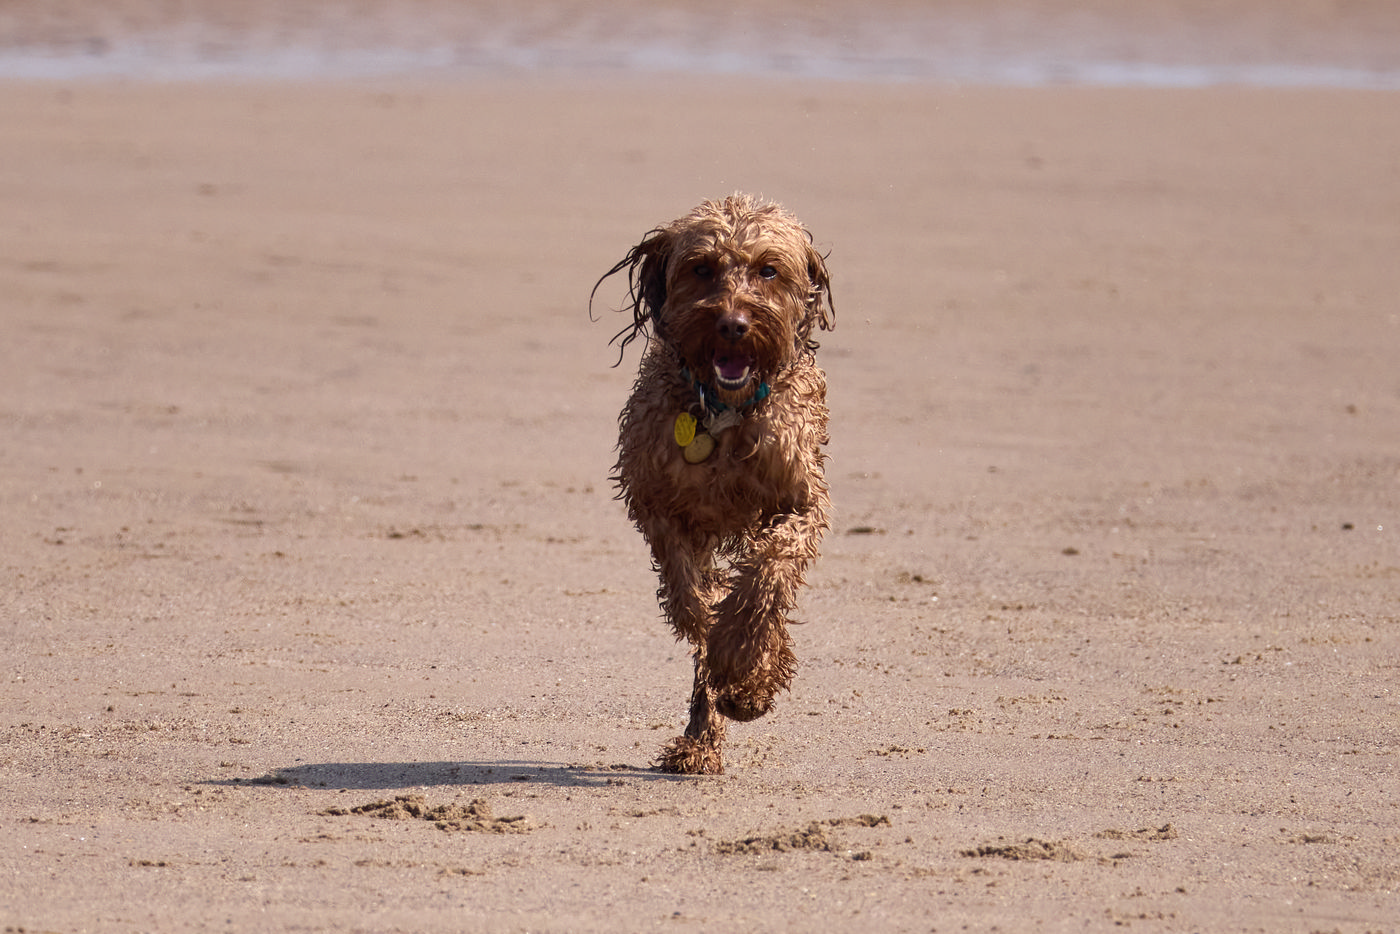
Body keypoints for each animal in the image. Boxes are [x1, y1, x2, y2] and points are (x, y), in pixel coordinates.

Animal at [591, 194, 835, 774]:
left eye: (769, 270)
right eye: (701, 268)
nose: (733, 324)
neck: (724, 412)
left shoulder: (801, 501)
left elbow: (768, 573)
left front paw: (749, 670)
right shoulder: (660, 507)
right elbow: (693, 600)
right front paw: (741, 673)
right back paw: (702, 736)